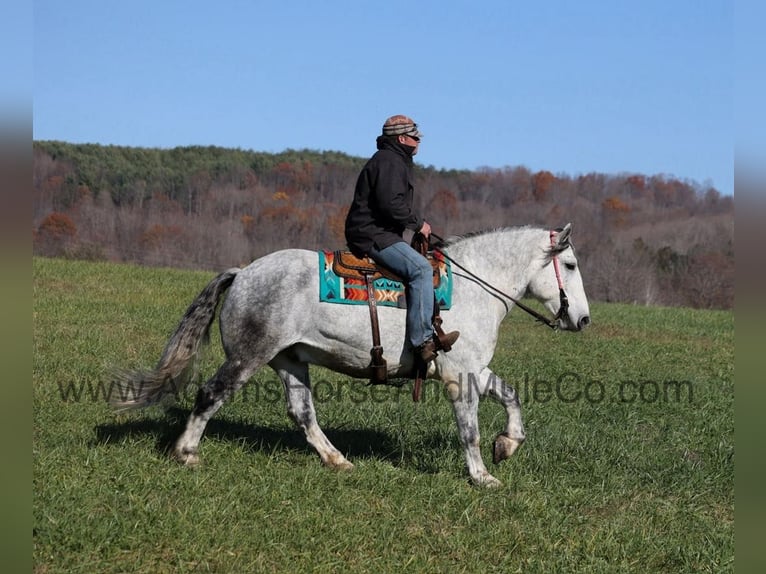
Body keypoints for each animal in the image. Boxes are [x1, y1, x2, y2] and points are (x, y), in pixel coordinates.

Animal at [111, 223, 592, 488]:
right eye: (569, 266)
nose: (583, 319)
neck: (474, 287)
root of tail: (243, 273)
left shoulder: (473, 369)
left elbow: (511, 397)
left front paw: (506, 445)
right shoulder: (461, 376)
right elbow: (469, 431)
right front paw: (482, 476)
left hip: (290, 360)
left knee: (302, 413)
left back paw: (337, 459)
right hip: (248, 357)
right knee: (211, 395)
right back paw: (186, 452)